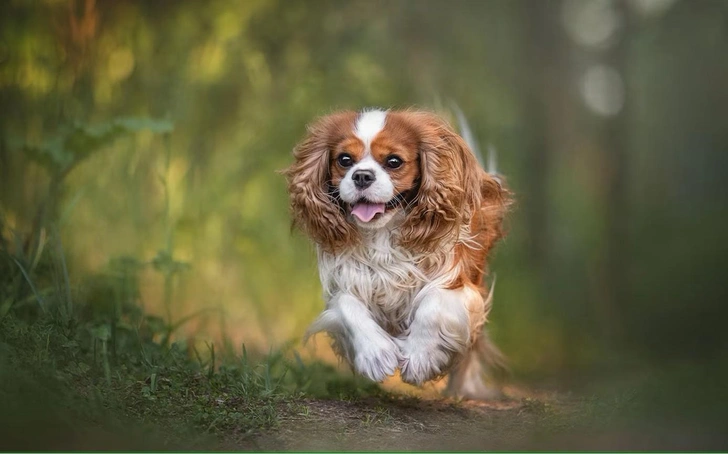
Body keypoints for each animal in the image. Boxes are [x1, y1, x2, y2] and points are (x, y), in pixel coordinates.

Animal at [284, 107, 512, 398]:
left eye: (393, 162)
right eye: (344, 160)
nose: (361, 176)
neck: (383, 235)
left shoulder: (458, 284)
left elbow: (433, 305)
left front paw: (419, 357)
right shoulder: (344, 281)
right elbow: (347, 305)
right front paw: (375, 354)